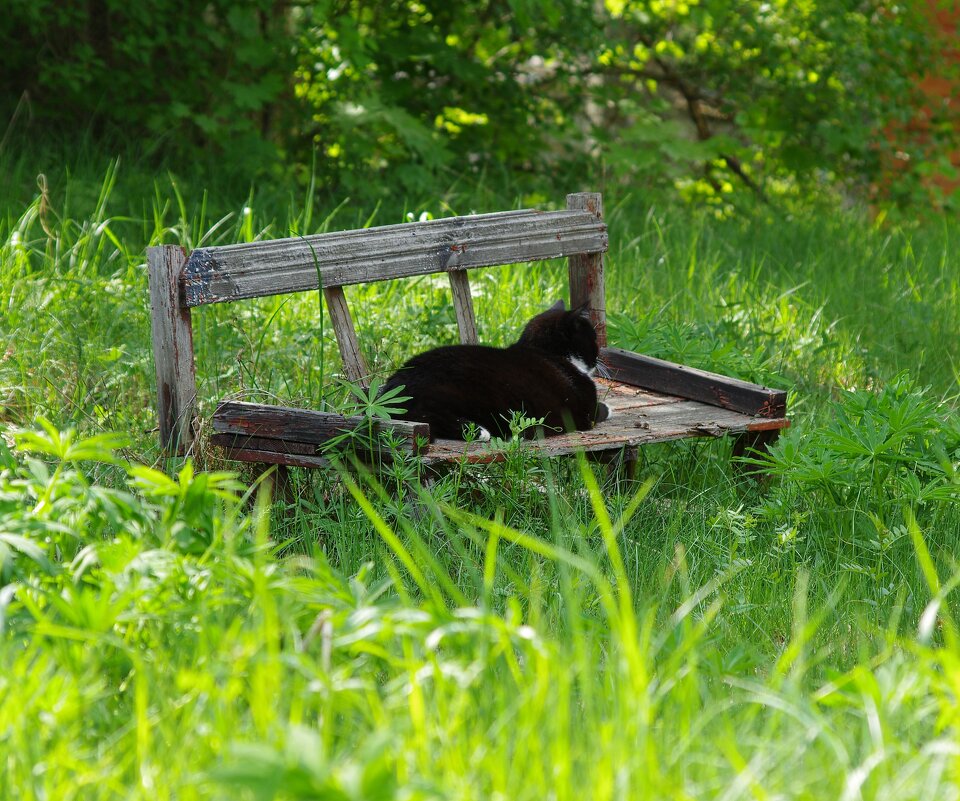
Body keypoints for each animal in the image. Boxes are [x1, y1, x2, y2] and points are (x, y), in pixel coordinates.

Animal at [380, 300, 612, 440]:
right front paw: (609, 407)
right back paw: (477, 430)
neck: (545, 352)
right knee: (427, 416)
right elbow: (601, 410)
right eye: (592, 338)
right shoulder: (584, 412)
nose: (599, 354)